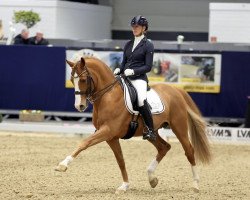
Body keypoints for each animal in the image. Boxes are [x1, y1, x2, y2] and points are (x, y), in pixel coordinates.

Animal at [55, 56, 211, 194]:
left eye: (82, 80)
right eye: (71, 80)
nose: (79, 106)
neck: (108, 96)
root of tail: (176, 90)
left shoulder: (107, 131)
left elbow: (84, 143)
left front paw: (62, 165)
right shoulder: (111, 137)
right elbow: (120, 160)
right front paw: (124, 186)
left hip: (179, 127)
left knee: (189, 150)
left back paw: (195, 185)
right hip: (152, 132)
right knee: (164, 147)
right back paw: (152, 178)